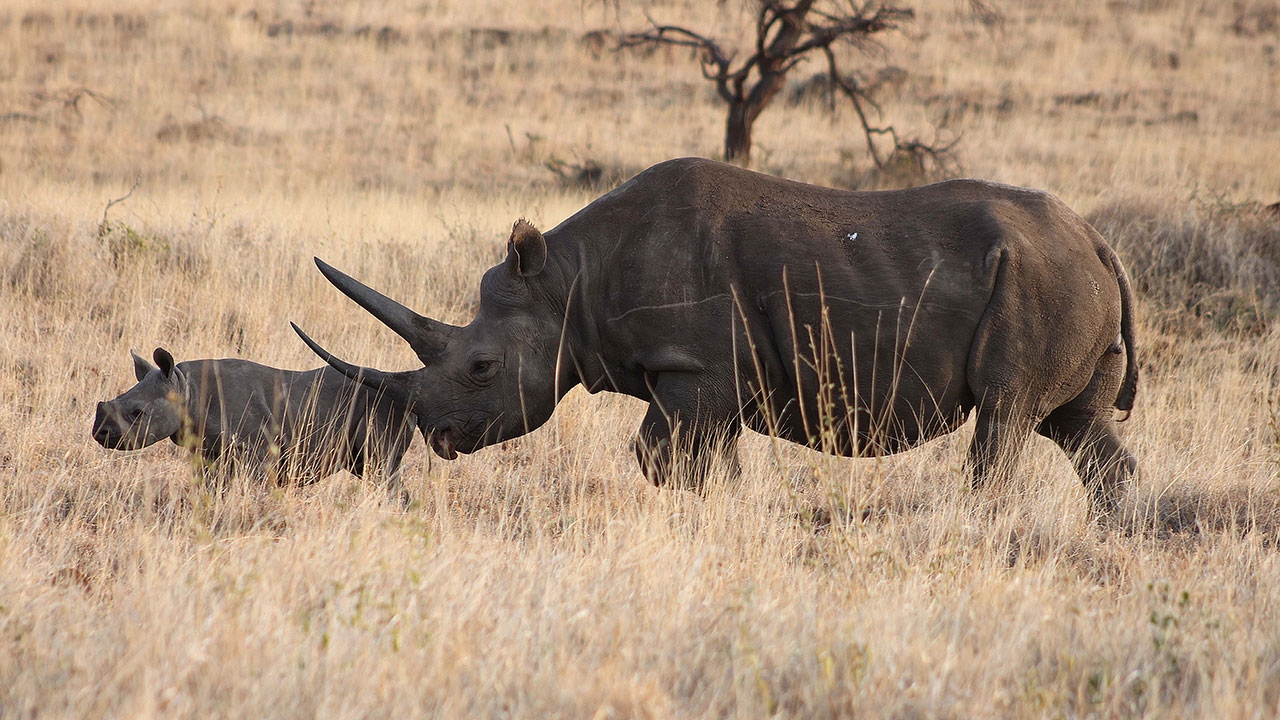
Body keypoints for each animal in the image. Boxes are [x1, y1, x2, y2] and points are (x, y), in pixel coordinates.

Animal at [94, 345, 414, 489]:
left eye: (138, 413)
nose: (101, 434)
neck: (186, 388)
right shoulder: (209, 451)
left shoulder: (256, 450)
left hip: (381, 410)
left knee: (382, 469)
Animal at [293, 155, 1141, 509]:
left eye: (479, 367)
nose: (434, 434)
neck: (567, 285)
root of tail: (1099, 241)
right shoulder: (710, 381)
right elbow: (707, 462)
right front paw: (733, 514)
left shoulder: (695, 368)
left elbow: (658, 457)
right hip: (1061, 277)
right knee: (1078, 428)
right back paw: (1114, 533)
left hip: (1039, 282)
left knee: (1006, 417)